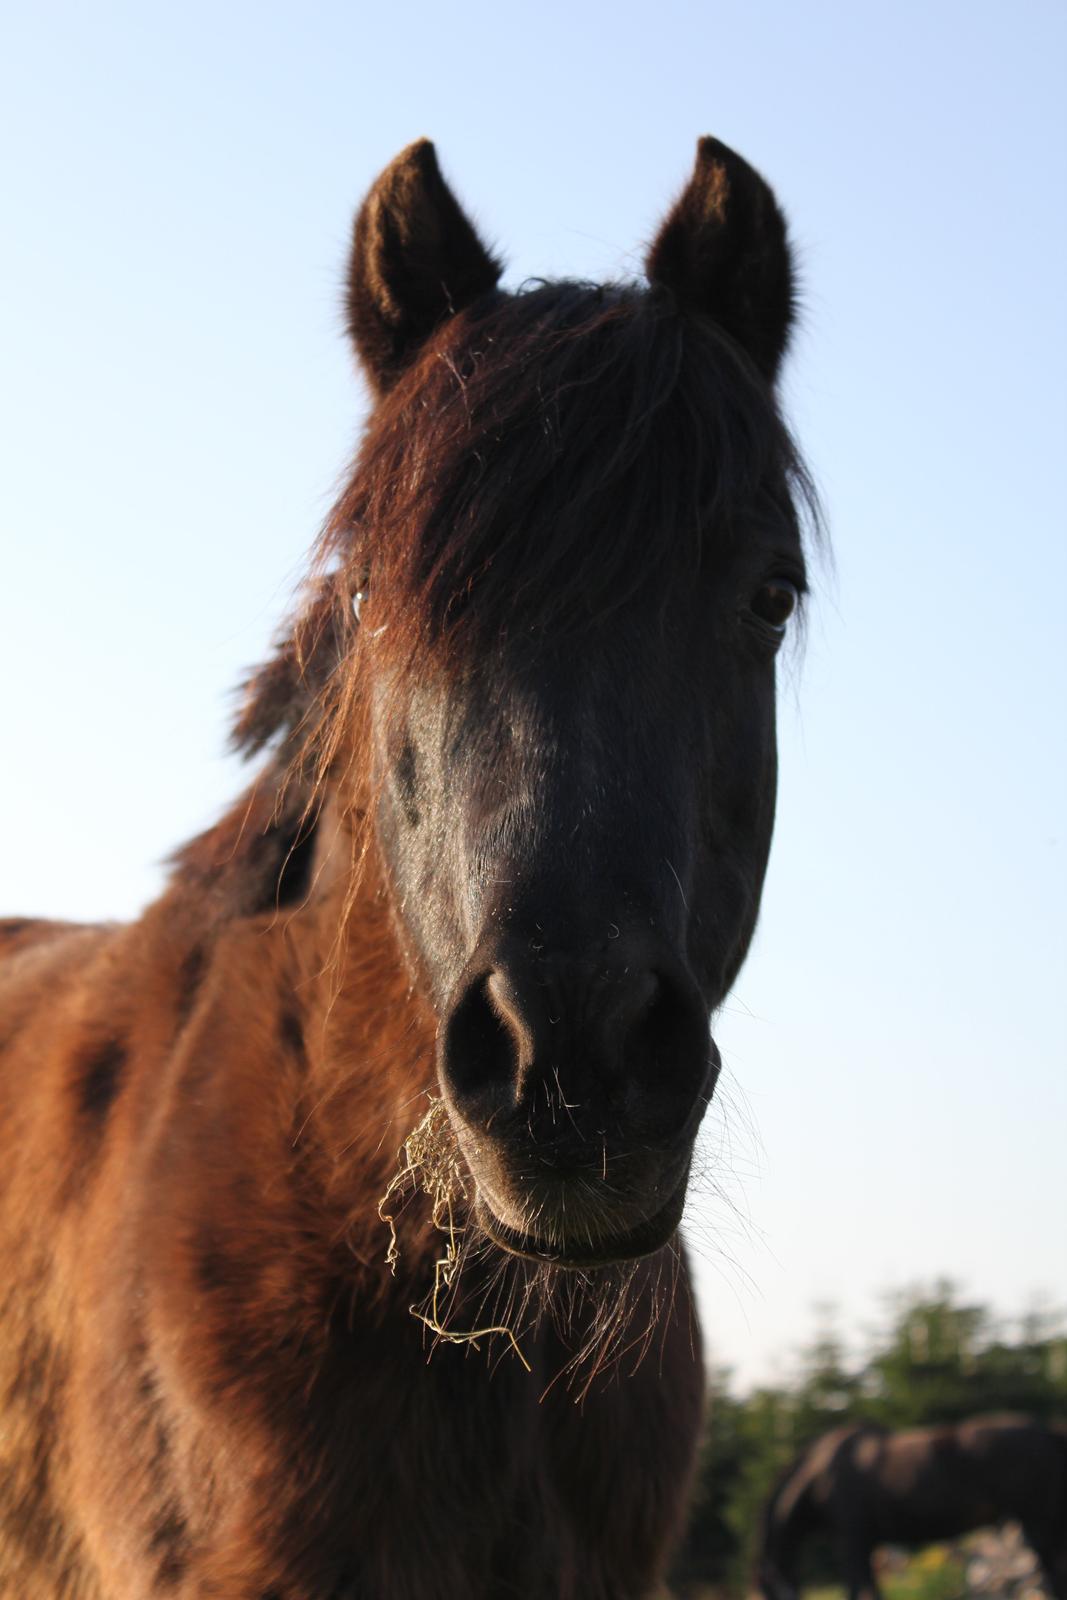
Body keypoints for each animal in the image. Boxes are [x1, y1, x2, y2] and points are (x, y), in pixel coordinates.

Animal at [758, 1414, 1067, 1600]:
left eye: (767, 1595)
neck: (822, 1474)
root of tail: (1047, 1432)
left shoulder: (852, 1539)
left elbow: (858, 1588)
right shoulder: (866, 1543)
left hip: (1036, 1519)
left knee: (1053, 1572)